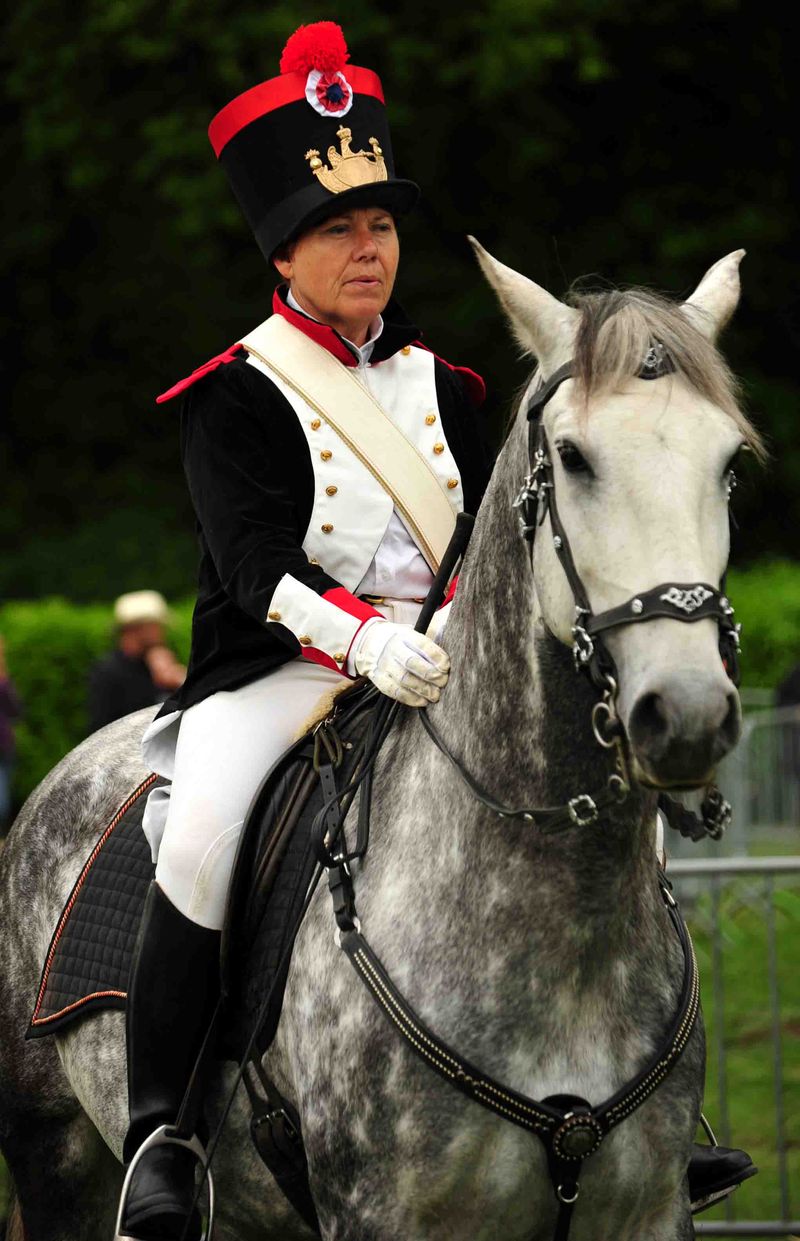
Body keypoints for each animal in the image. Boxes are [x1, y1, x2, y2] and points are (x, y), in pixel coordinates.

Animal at [0, 244, 763, 1241]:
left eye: (729, 463)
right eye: (573, 457)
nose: (688, 712)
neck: (563, 925)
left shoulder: (645, 1215)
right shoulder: (380, 1215)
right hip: (56, 1158)